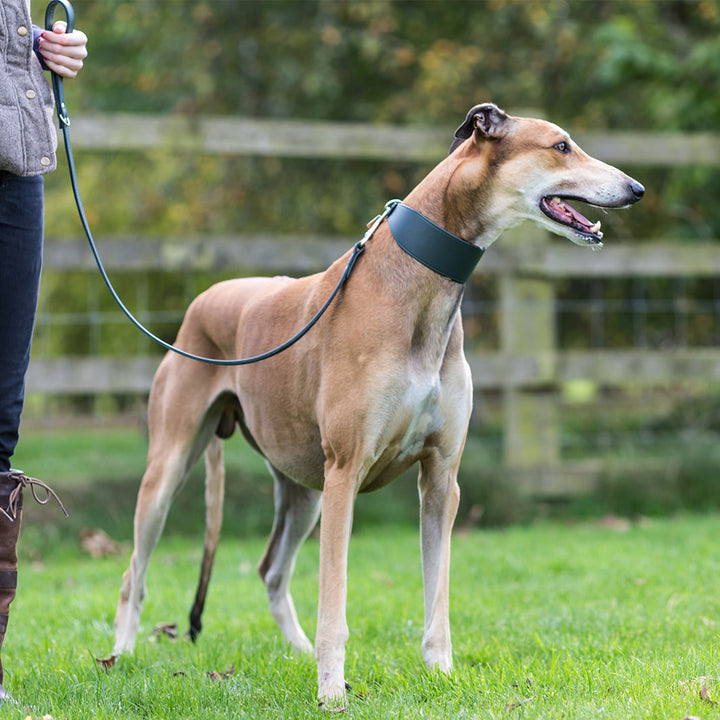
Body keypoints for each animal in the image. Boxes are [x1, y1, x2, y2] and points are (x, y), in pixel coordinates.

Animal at [109, 104, 644, 704]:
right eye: (561, 146)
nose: (636, 189)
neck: (422, 283)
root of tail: (205, 297)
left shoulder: (441, 478)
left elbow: (438, 597)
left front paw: (441, 674)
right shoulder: (345, 471)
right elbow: (335, 604)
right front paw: (331, 692)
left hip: (301, 488)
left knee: (271, 569)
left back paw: (296, 652)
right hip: (172, 468)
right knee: (135, 571)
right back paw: (122, 655)